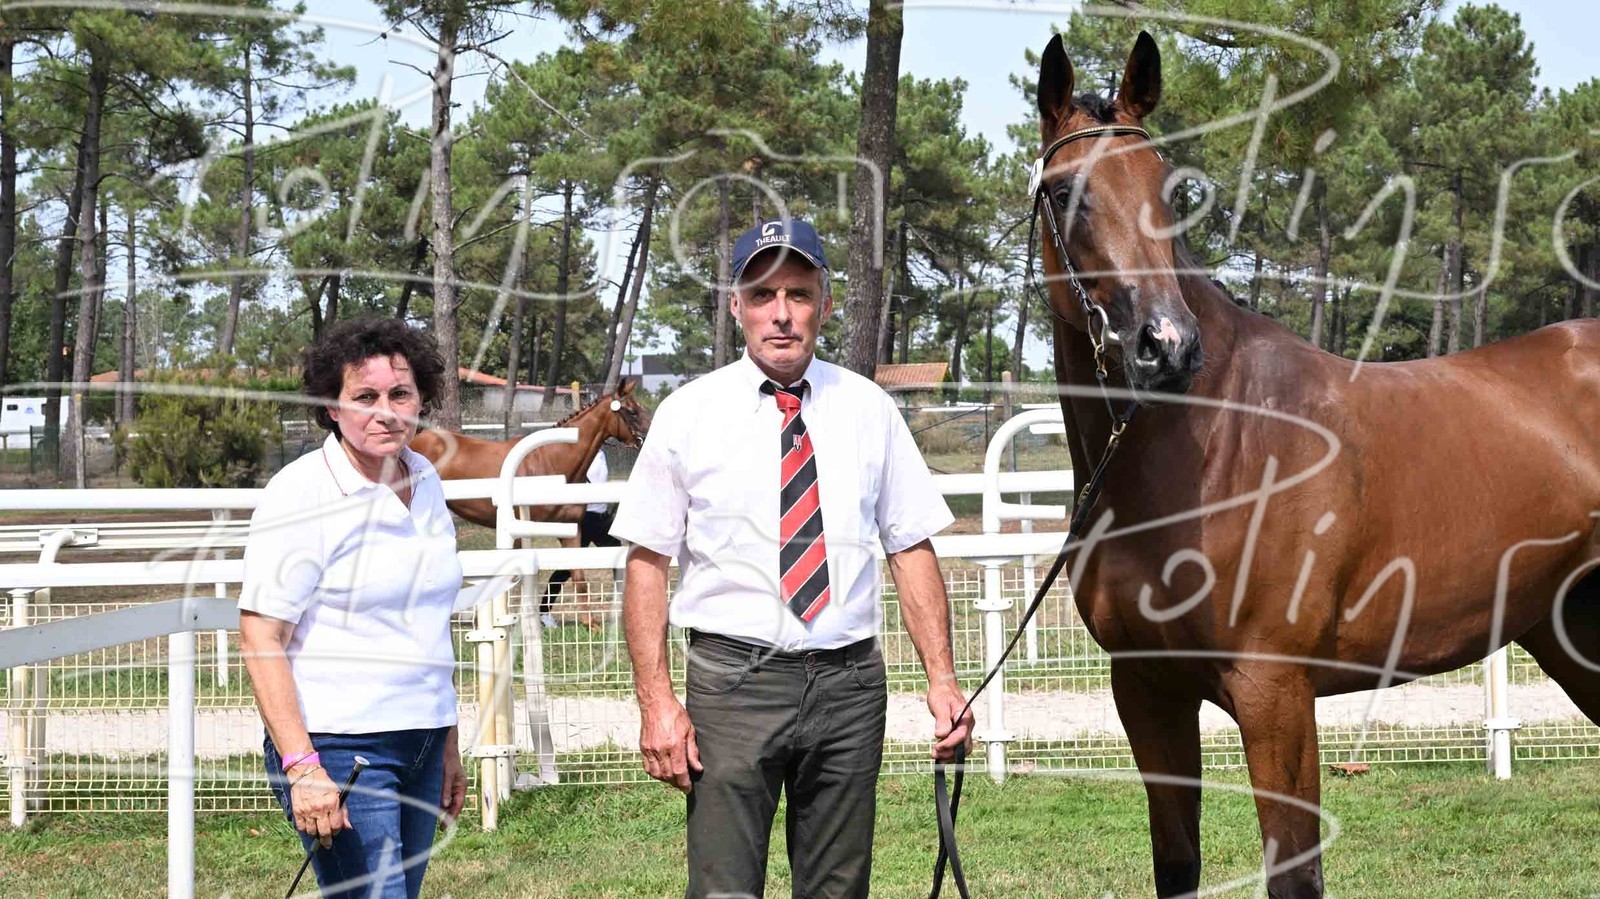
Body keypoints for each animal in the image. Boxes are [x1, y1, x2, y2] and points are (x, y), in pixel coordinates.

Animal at [1030, 31, 1600, 898]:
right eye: (1065, 193)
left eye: (1171, 189)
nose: (1167, 346)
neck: (1207, 444)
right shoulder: (1148, 692)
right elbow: (1178, 864)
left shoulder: (1275, 695)